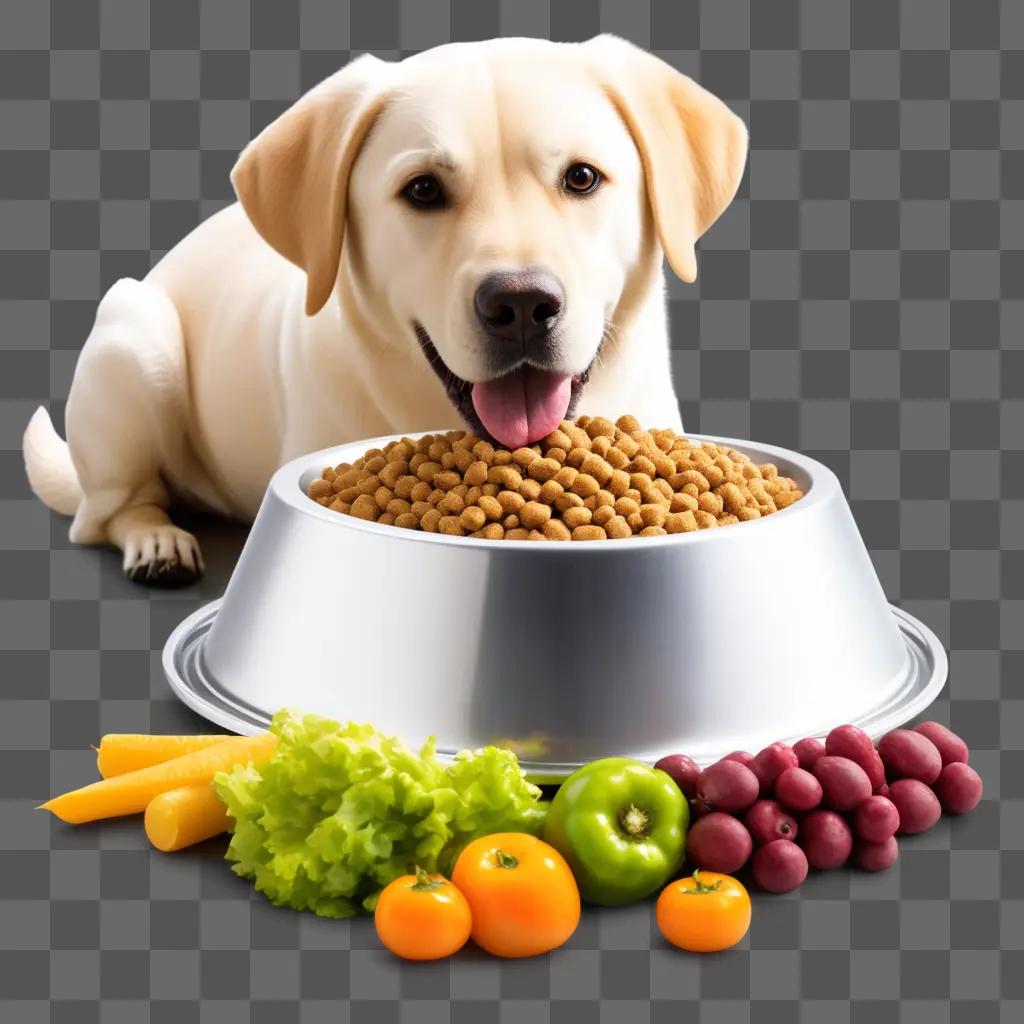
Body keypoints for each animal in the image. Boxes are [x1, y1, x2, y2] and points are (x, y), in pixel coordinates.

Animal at [22, 36, 745, 585]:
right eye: (422, 190)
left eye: (583, 177)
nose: (519, 303)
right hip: (135, 343)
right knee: (106, 512)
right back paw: (157, 540)